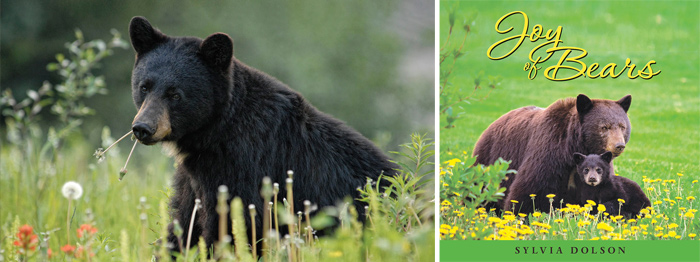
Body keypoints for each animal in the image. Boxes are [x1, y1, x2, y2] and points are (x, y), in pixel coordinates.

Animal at [126, 16, 396, 254]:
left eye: (175, 94)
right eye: (144, 86)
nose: (143, 127)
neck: (214, 132)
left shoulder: (243, 163)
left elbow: (236, 223)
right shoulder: (195, 174)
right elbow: (185, 221)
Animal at [474, 94, 632, 215]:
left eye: (622, 126)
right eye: (604, 127)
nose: (619, 145)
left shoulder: (601, 165)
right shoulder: (549, 152)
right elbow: (528, 190)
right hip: (491, 159)